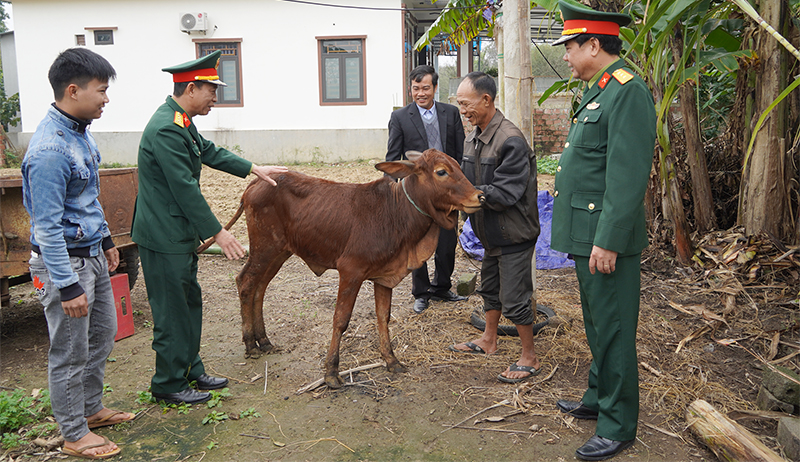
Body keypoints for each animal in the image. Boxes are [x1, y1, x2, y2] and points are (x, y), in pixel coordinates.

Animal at [231, 150, 482, 388]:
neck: (397, 214)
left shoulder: (384, 276)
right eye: (441, 172)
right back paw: (251, 344)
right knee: (245, 283)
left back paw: (263, 340)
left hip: (279, 252)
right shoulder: (351, 271)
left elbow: (383, 317)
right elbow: (341, 320)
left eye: (458, 166)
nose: (480, 196)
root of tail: (257, 182)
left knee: (260, 288)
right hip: (264, 248)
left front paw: (391, 360)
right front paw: (331, 372)